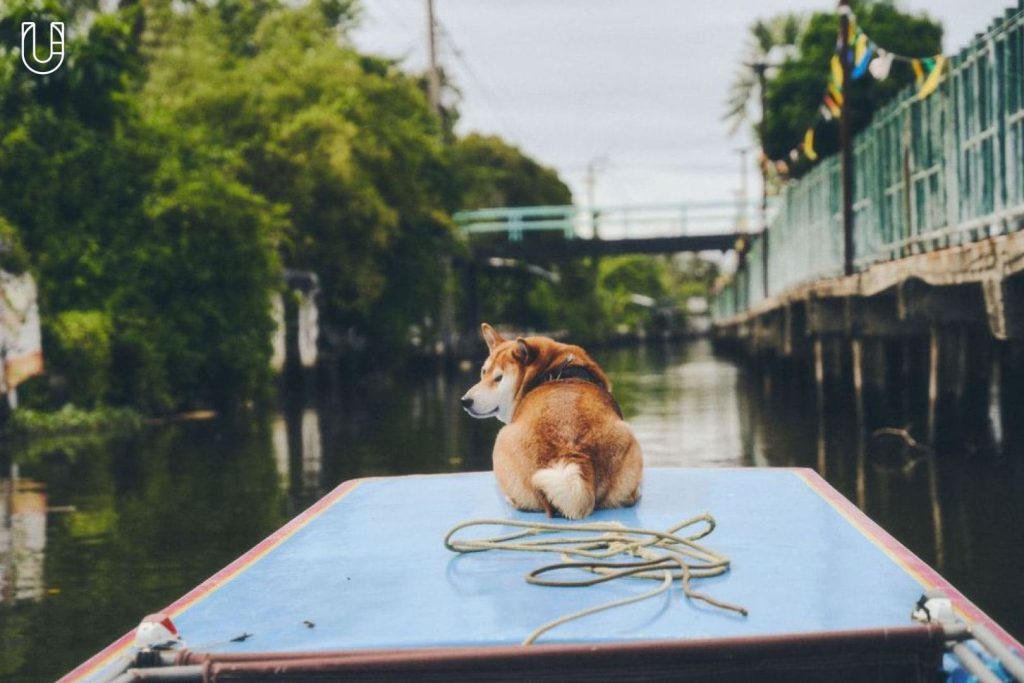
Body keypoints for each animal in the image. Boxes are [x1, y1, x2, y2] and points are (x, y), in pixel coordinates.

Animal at [462, 325, 638, 518]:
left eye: (498, 378)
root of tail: (572, 454)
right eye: (483, 372)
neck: (552, 370)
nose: (465, 401)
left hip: (501, 438)